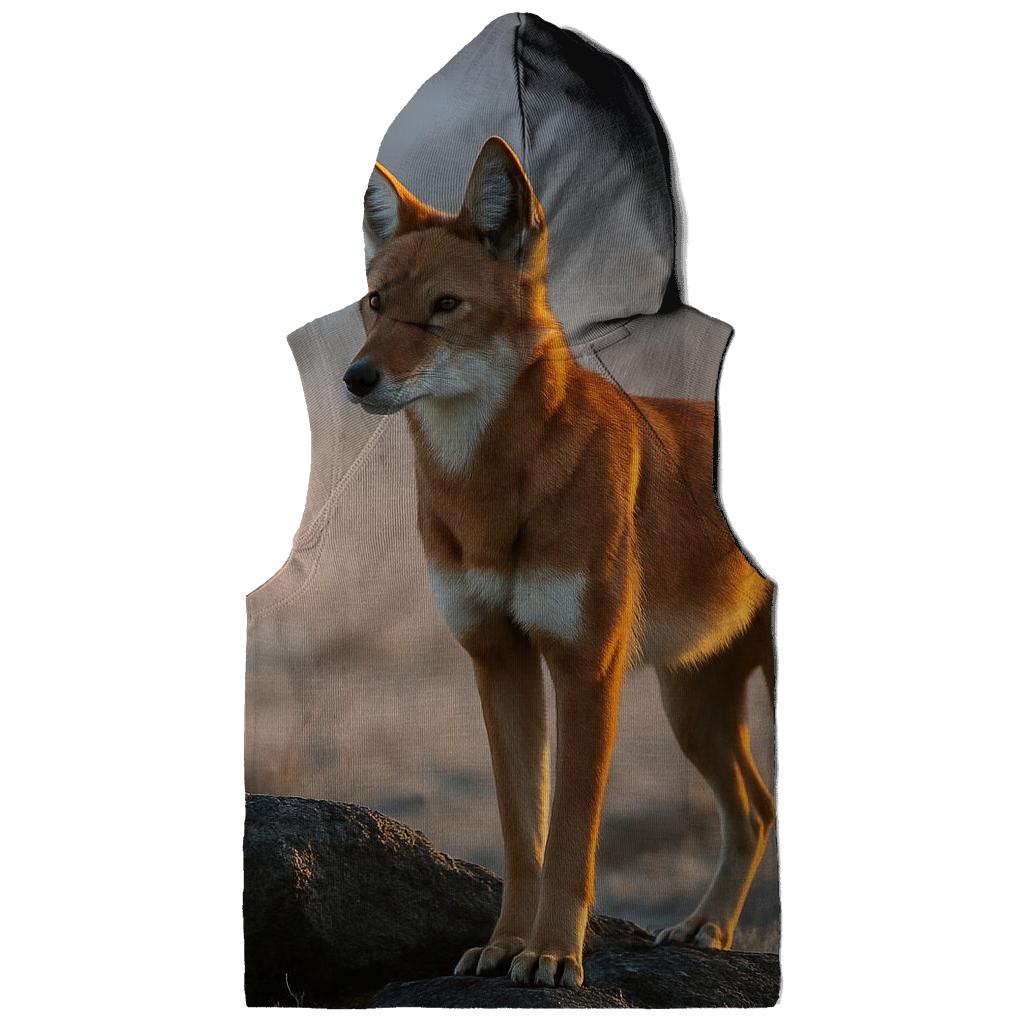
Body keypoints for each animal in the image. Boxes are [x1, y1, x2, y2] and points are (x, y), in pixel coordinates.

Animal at [344, 136, 776, 988]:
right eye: (376, 304)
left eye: (445, 306)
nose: (357, 377)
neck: (489, 488)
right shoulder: (499, 662)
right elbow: (523, 837)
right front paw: (505, 944)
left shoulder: (585, 670)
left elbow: (572, 838)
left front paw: (550, 954)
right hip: (692, 708)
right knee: (755, 809)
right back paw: (706, 929)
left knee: (758, 808)